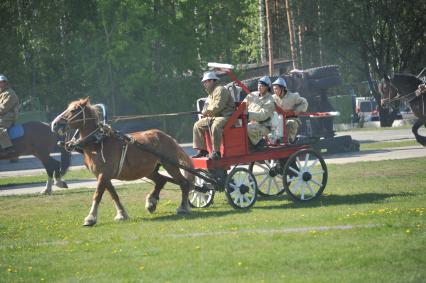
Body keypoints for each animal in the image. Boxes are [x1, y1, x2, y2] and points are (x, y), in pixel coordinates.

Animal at [50, 97, 194, 226]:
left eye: (74, 110)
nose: (55, 124)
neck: (97, 141)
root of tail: (167, 137)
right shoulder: (102, 175)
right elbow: (113, 194)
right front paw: (121, 214)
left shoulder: (104, 174)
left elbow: (97, 195)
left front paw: (90, 218)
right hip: (148, 170)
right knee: (161, 180)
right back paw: (151, 203)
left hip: (170, 164)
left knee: (184, 183)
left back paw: (183, 207)